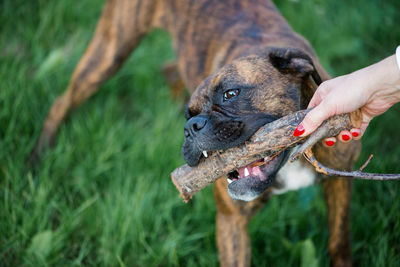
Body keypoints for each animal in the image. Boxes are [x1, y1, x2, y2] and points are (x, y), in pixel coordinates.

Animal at [32, 1, 360, 266]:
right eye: (189, 117)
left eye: (231, 94)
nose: (191, 127)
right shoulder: (231, 221)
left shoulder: (340, 182)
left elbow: (338, 241)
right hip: (111, 49)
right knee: (64, 100)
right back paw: (39, 154)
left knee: (168, 70)